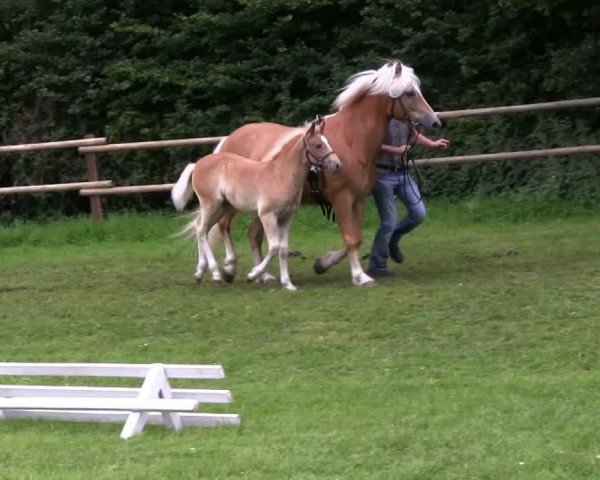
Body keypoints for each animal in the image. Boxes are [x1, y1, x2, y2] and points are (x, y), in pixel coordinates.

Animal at [171, 118, 340, 290]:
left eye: (328, 142)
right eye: (318, 145)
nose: (337, 165)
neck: (281, 175)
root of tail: (197, 164)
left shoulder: (286, 217)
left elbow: (283, 249)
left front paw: (287, 284)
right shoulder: (267, 215)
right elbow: (274, 247)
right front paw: (253, 274)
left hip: (222, 207)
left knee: (202, 228)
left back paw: (200, 272)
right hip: (212, 205)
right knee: (201, 230)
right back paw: (216, 273)